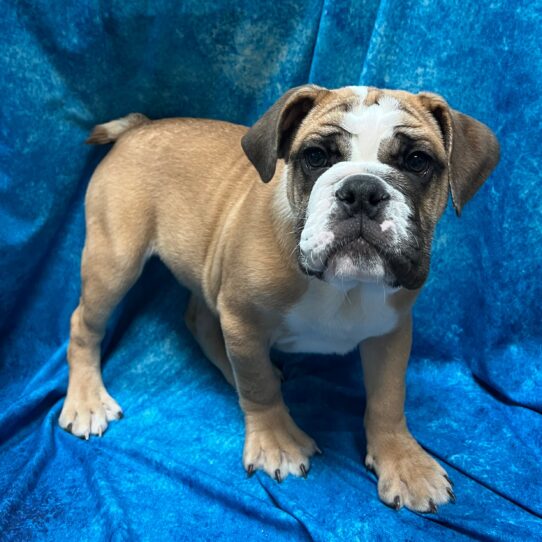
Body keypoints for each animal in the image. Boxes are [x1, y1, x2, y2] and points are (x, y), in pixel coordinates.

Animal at [60, 86, 502, 516]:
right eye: (316, 156)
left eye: (416, 161)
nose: (362, 190)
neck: (343, 286)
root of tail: (138, 126)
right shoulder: (243, 320)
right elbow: (259, 388)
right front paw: (277, 442)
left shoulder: (391, 332)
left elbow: (388, 398)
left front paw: (403, 462)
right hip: (114, 260)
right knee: (85, 324)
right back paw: (86, 401)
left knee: (201, 320)